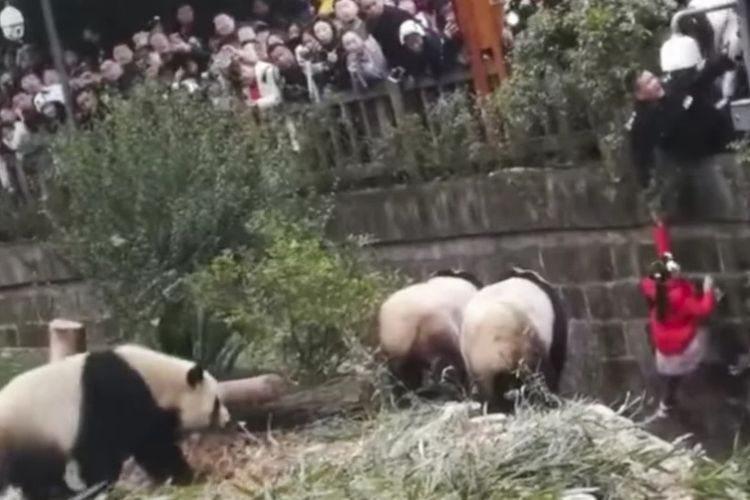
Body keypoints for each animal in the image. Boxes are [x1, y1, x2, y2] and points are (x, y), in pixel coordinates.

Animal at [458, 268, 568, 412]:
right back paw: (547, 401)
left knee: (488, 390)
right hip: (527, 344)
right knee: (539, 376)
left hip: (477, 364)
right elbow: (557, 353)